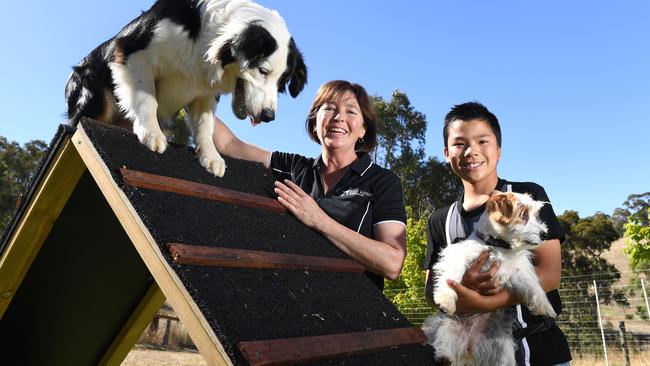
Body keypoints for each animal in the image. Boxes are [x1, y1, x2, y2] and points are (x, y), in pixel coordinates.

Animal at [66, 0, 306, 177]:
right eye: (263, 71)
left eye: (282, 83)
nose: (268, 116)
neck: (209, 38)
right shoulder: (132, 50)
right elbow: (147, 97)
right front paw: (150, 132)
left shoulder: (206, 90)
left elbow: (205, 124)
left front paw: (210, 157)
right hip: (94, 95)